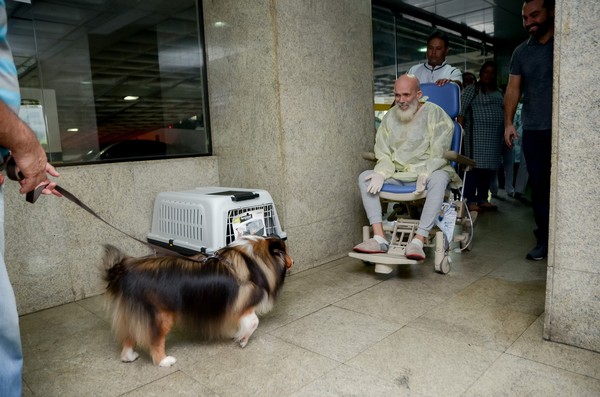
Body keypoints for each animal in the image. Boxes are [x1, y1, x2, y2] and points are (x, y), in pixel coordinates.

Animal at [102, 234, 292, 366]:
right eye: (286, 251)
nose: (293, 261)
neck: (253, 260)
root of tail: (125, 270)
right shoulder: (244, 305)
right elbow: (253, 322)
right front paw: (243, 340)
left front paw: (235, 334)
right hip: (160, 315)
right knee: (155, 341)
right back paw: (164, 361)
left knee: (129, 336)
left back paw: (128, 356)